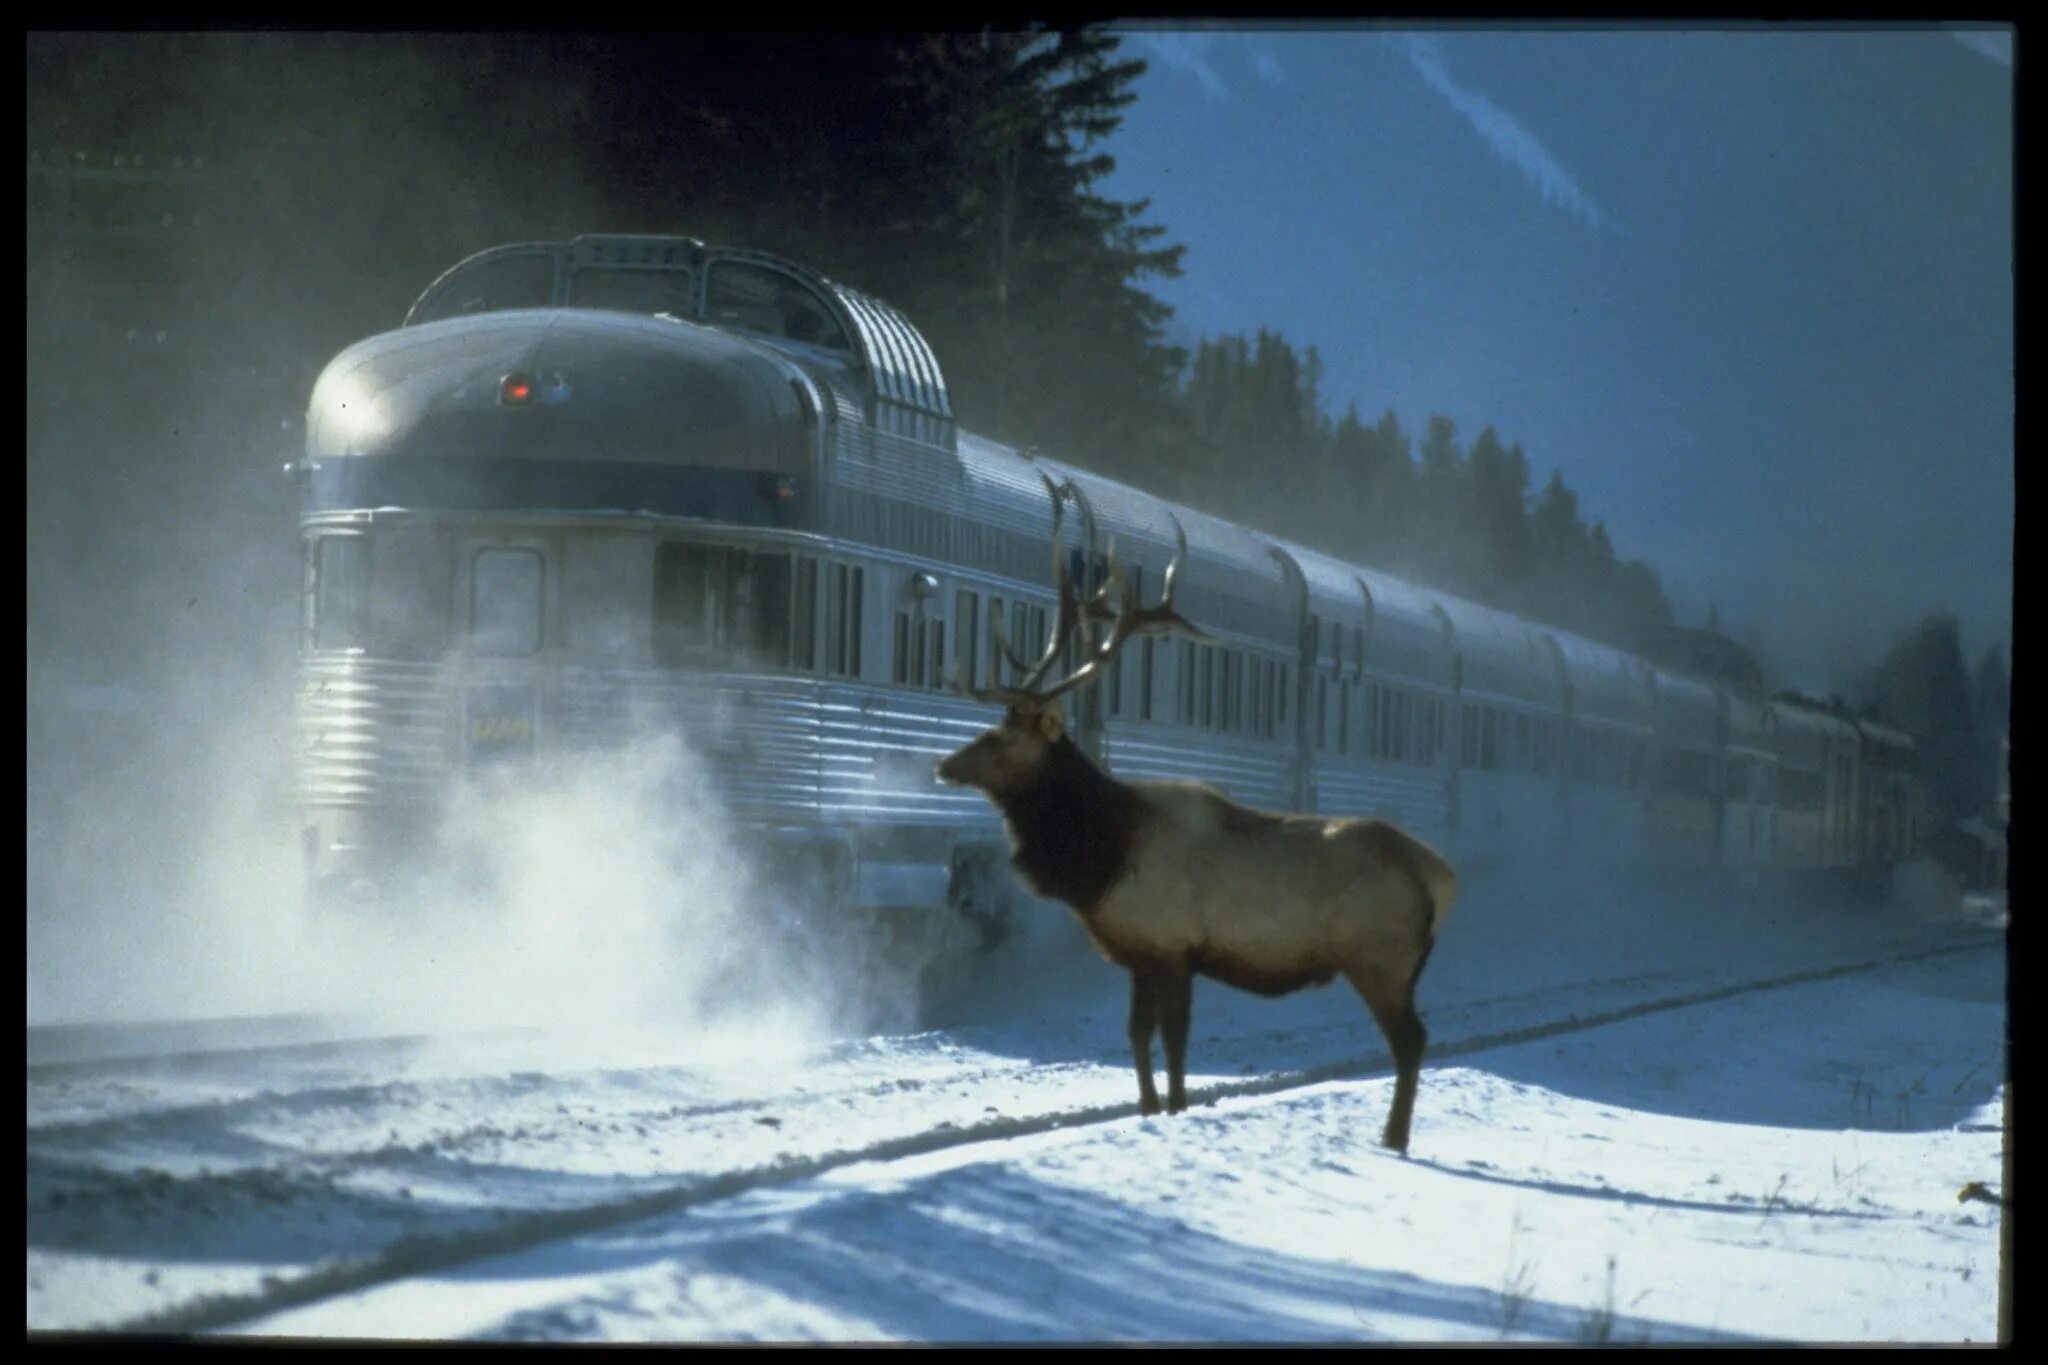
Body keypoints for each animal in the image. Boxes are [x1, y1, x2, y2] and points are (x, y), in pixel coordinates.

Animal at [933, 480, 1458, 1154]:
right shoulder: (1138, 953)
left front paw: (1176, 1108)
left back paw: (1392, 1139)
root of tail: (1441, 875)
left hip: (1380, 957)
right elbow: (1136, 1036)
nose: (945, 764)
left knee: (1412, 1041)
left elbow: (1175, 1041)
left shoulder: (1172, 944)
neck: (1101, 856)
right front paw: (1148, 1108)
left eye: (1002, 738)